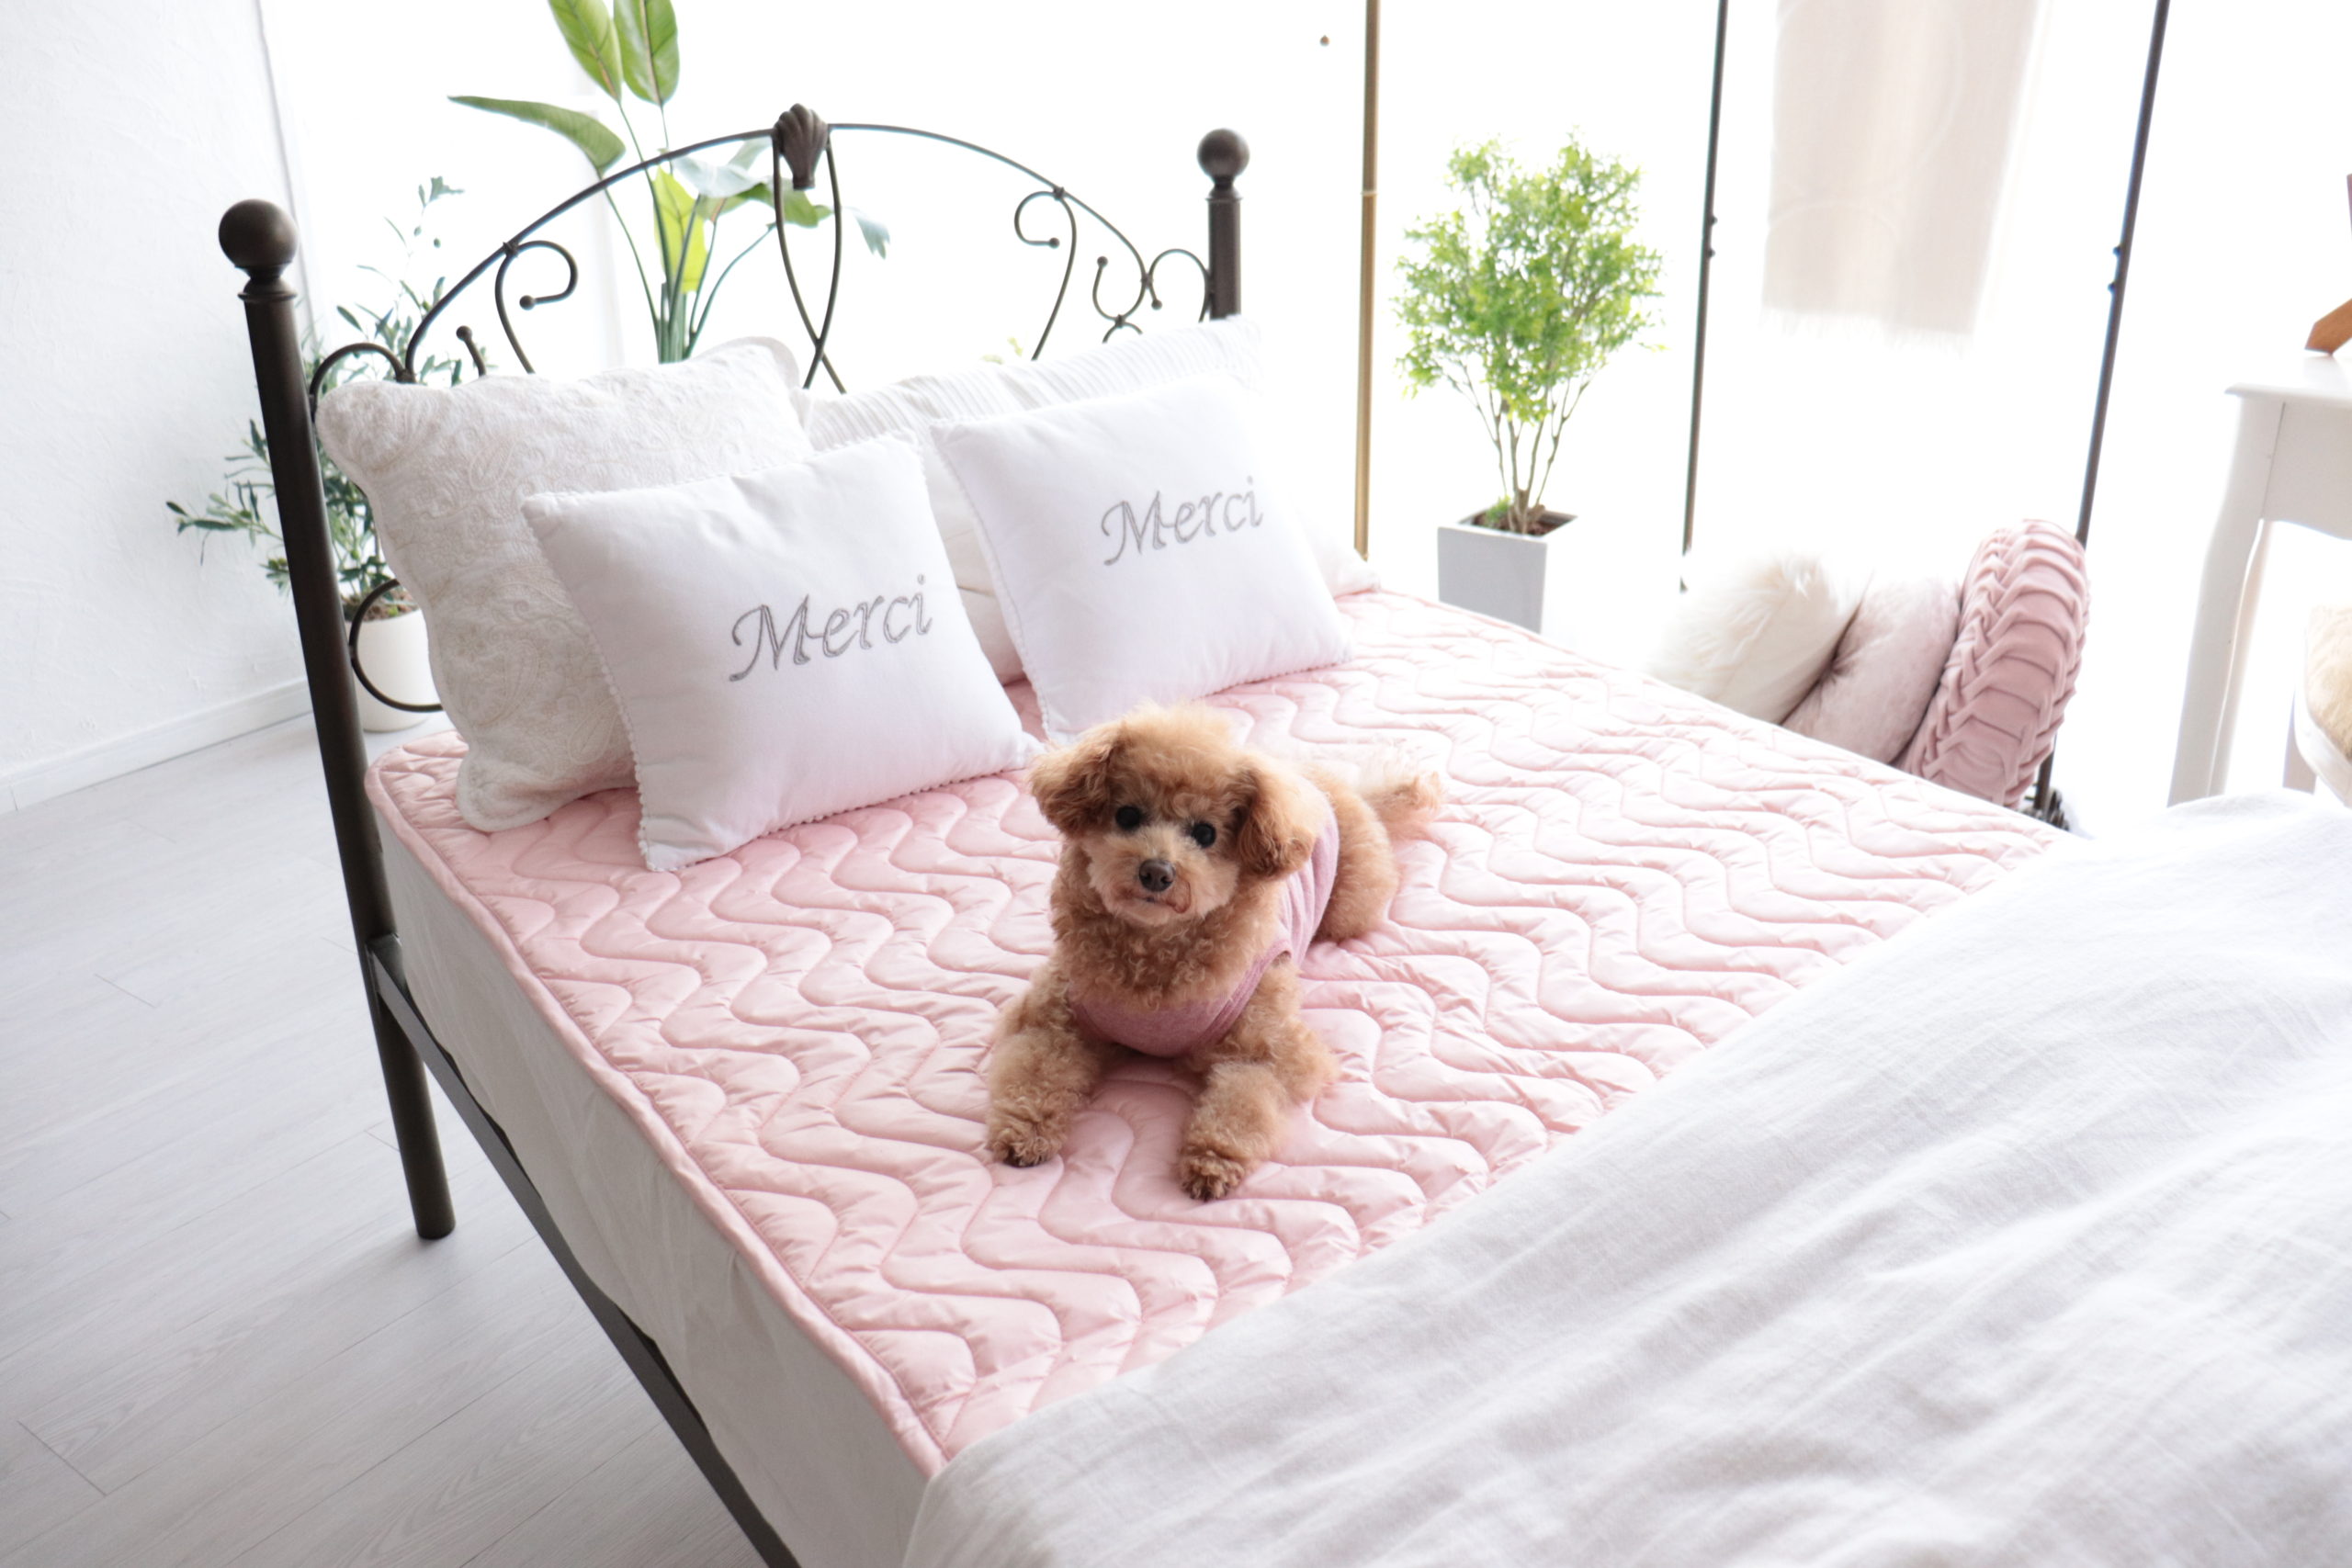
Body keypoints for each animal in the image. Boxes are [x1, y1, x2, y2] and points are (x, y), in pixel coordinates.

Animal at [985, 705, 1440, 1200]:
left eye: (1205, 833)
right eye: (1127, 815)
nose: (1157, 872)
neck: (1154, 947)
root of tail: (1335, 783)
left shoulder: (1266, 1049)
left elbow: (1242, 1100)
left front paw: (1212, 1160)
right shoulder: (1054, 1019)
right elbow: (1036, 1071)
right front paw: (1024, 1131)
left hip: (1353, 901)